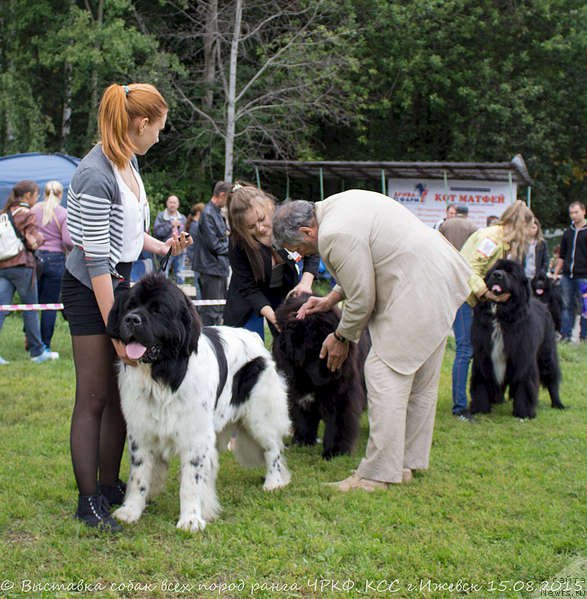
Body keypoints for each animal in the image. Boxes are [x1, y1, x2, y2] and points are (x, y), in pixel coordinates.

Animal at [107, 274, 290, 532]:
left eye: (158, 310)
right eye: (129, 306)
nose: (132, 319)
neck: (163, 375)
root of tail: (254, 336)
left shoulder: (195, 435)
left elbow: (190, 482)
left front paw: (191, 519)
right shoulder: (141, 432)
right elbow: (139, 475)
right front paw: (131, 510)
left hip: (259, 415)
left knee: (273, 447)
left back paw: (274, 482)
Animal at [272, 294, 368, 460]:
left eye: (333, 348)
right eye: (316, 348)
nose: (335, 372)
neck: (305, 377)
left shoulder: (340, 393)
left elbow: (336, 423)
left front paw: (333, 452)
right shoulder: (295, 389)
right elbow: (302, 416)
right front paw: (302, 441)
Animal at [468, 260, 564, 420]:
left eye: (511, 274)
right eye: (495, 269)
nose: (497, 275)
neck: (500, 315)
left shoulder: (523, 357)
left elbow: (524, 382)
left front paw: (523, 412)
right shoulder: (483, 355)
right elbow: (481, 380)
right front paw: (481, 408)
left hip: (546, 354)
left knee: (552, 379)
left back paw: (558, 403)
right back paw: (498, 400)